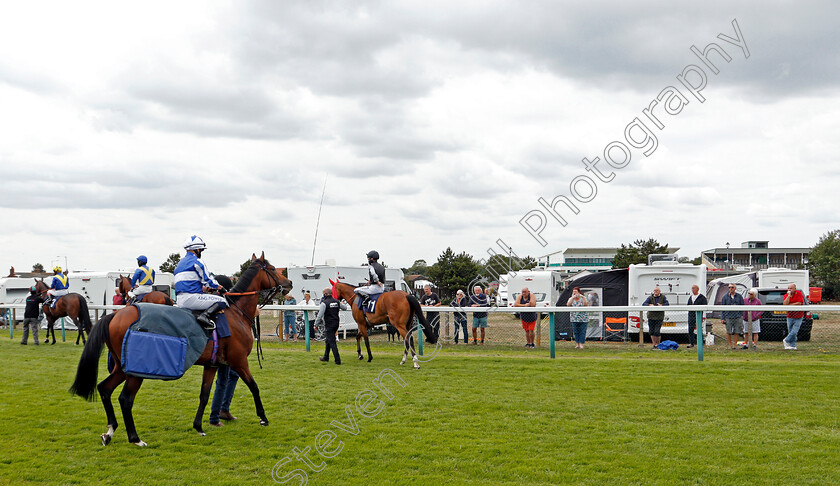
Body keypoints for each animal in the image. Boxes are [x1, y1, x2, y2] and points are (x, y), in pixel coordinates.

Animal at [69, 254, 292, 448]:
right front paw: (263, 418)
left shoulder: (212, 365)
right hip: (135, 372)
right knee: (125, 399)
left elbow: (204, 395)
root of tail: (115, 315)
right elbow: (254, 387)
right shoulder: (239, 361)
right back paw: (135, 438)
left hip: (121, 368)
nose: (289, 283)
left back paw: (110, 432)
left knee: (104, 389)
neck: (235, 312)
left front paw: (199, 427)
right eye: (273, 269)